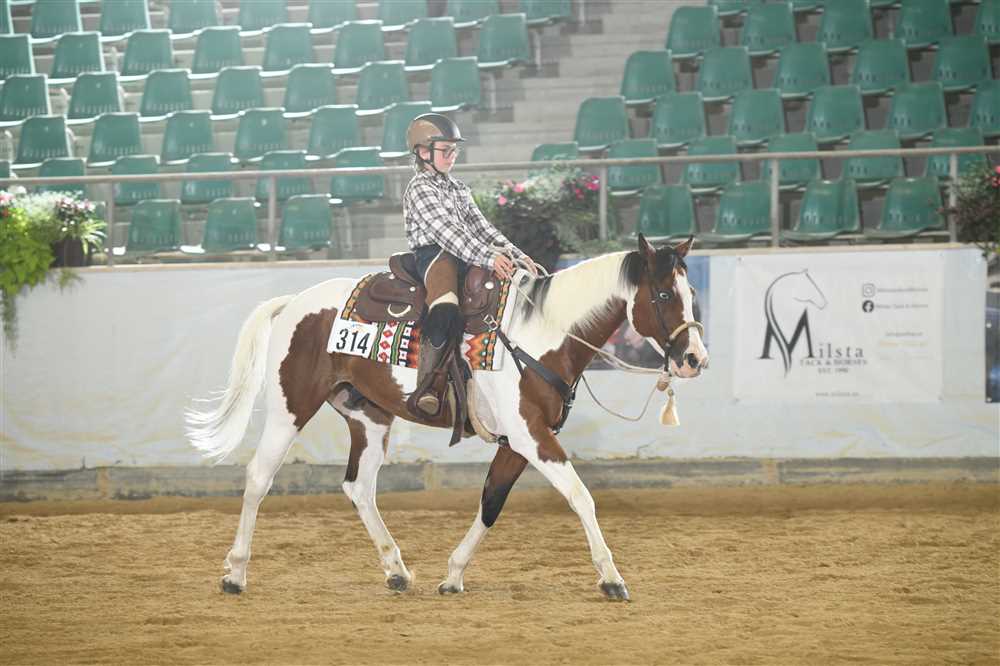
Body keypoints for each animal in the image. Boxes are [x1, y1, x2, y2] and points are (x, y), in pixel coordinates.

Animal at [186, 234, 709, 601]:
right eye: (664, 296)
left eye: (692, 293)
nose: (694, 360)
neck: (542, 335)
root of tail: (293, 302)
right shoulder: (532, 436)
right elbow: (581, 496)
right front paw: (612, 579)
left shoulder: (516, 443)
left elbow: (491, 503)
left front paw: (454, 575)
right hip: (290, 407)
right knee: (259, 477)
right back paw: (235, 572)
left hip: (369, 418)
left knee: (359, 487)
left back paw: (397, 570)